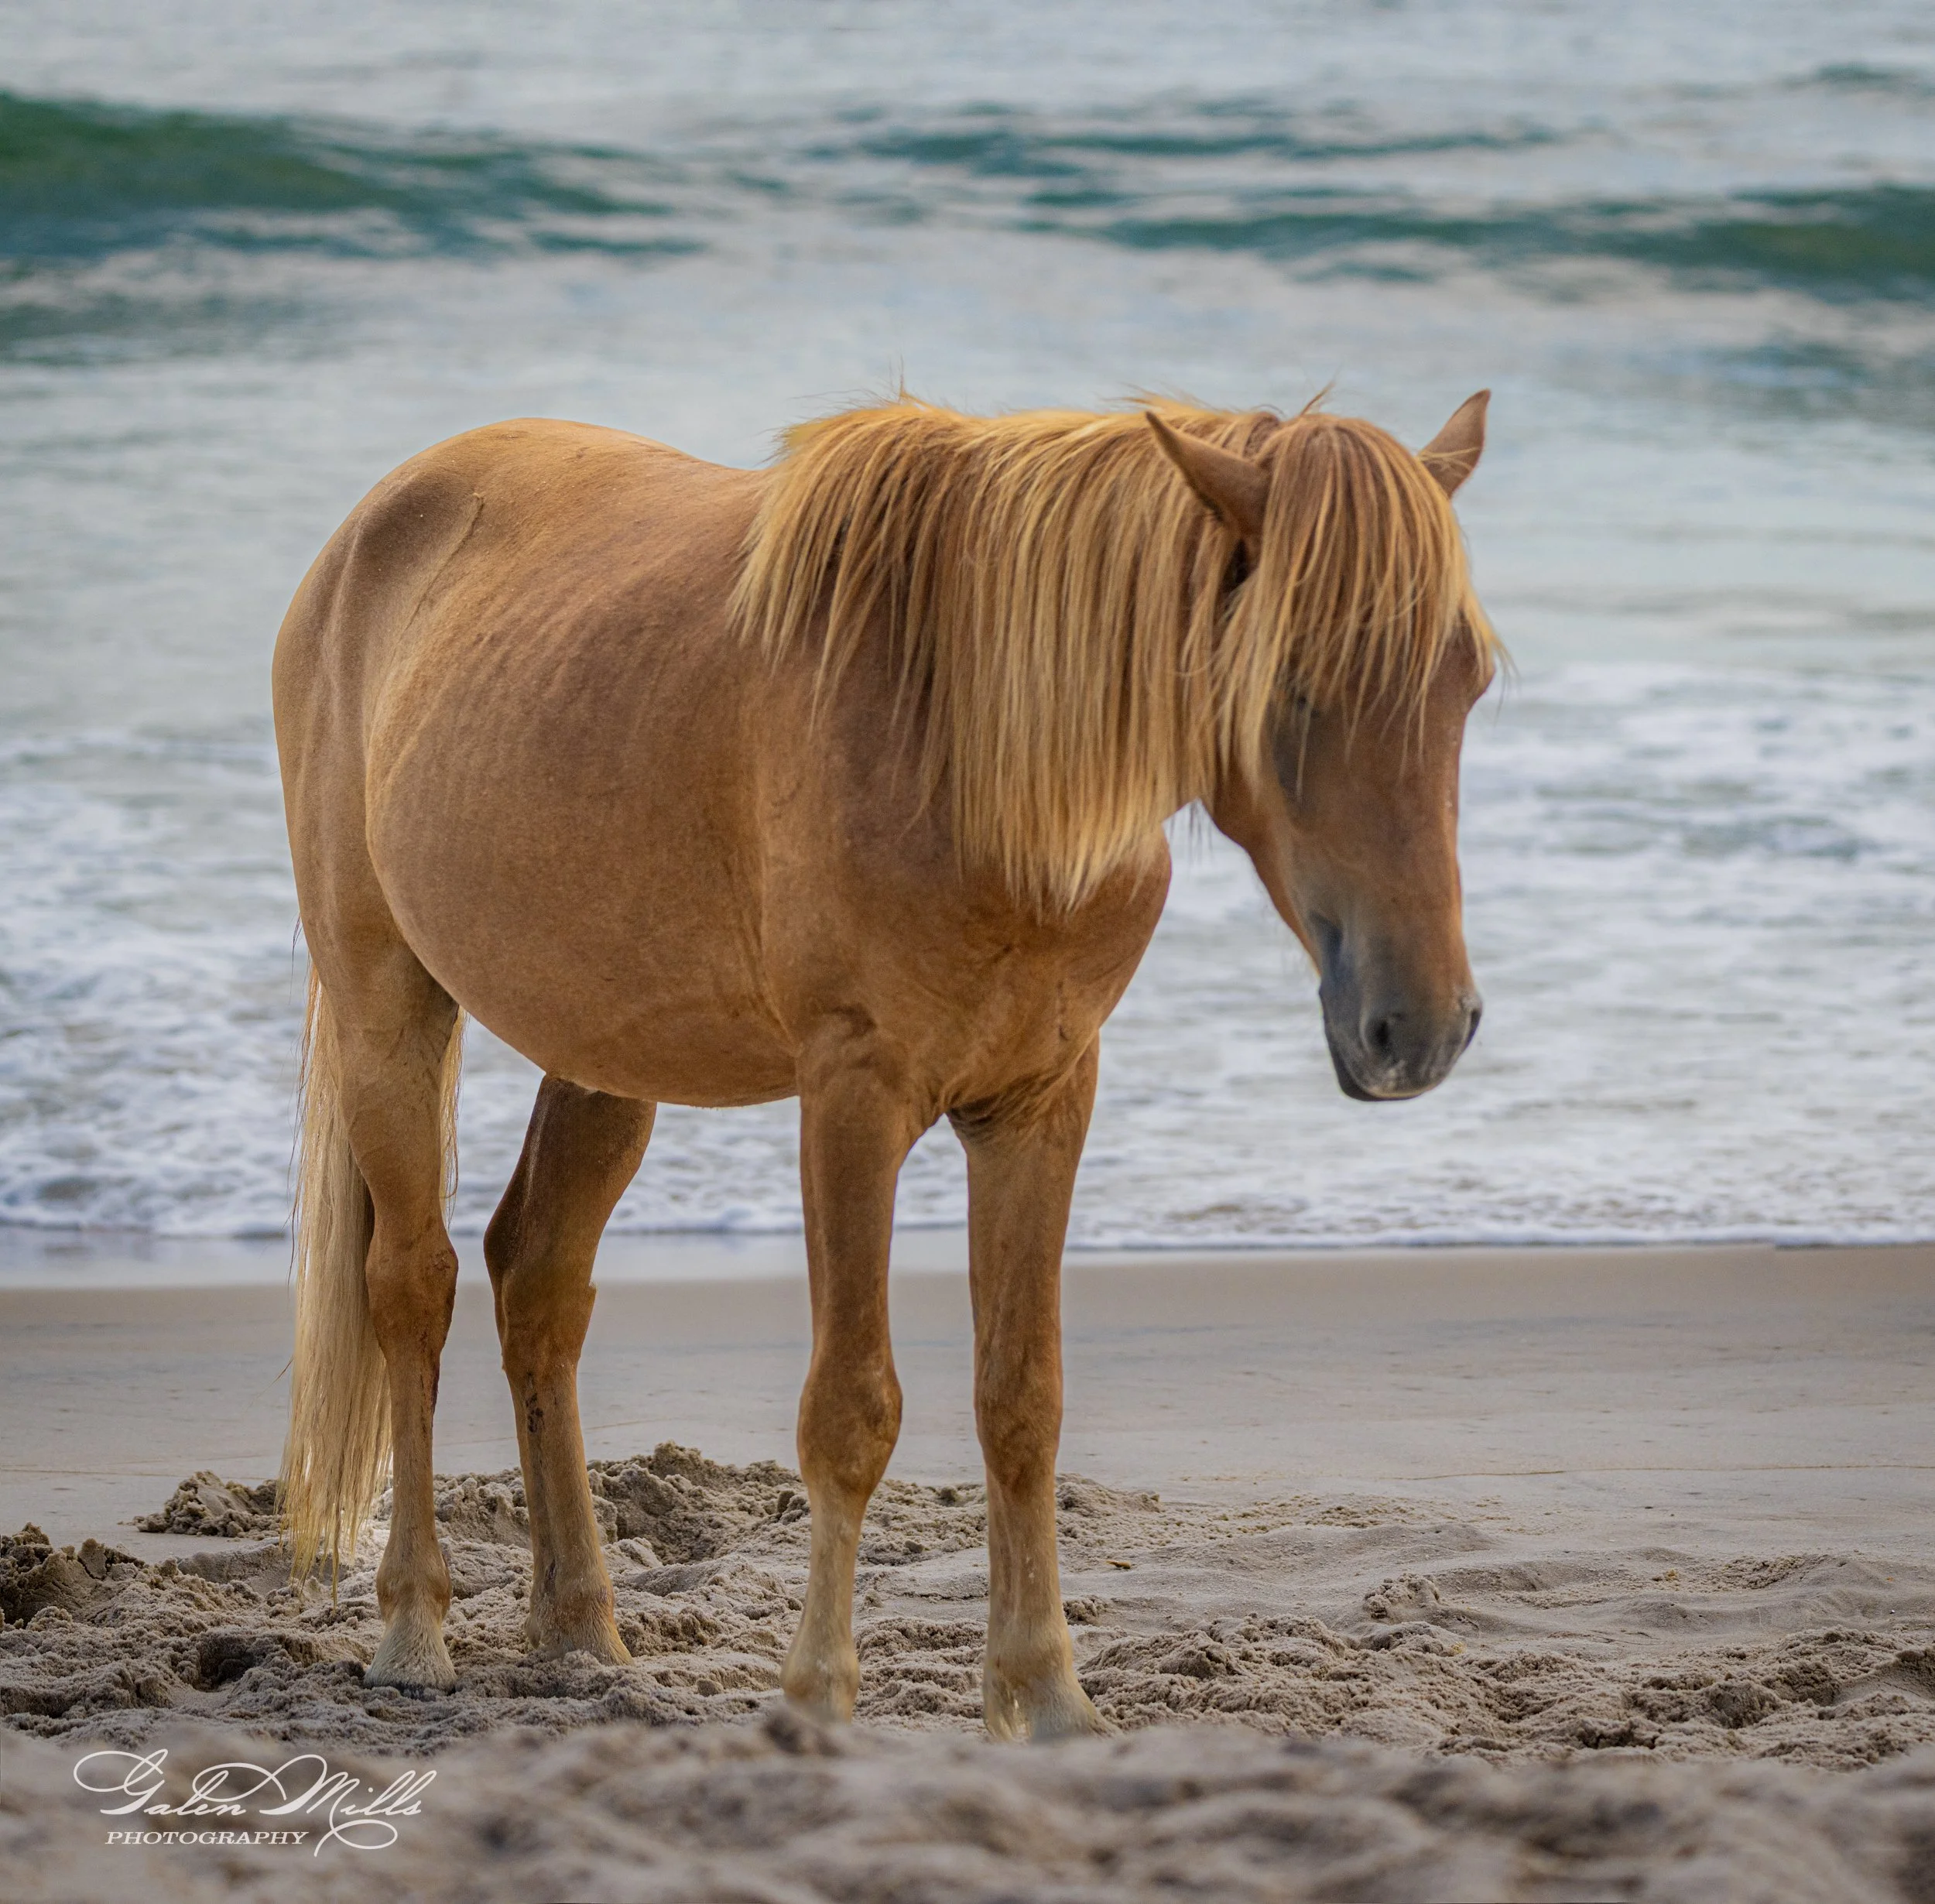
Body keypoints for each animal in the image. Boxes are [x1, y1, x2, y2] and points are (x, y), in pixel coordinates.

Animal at [272, 389, 1496, 1739]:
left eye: (1471, 681)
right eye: (1292, 683)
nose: (1418, 1026)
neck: (971, 747)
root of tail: (370, 528)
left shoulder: (1041, 1100)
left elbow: (1022, 1401)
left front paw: (1048, 1698)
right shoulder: (853, 1102)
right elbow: (851, 1411)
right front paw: (816, 1698)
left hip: (603, 1053)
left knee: (537, 1282)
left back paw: (582, 1630)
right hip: (389, 1007)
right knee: (413, 1288)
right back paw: (414, 1626)